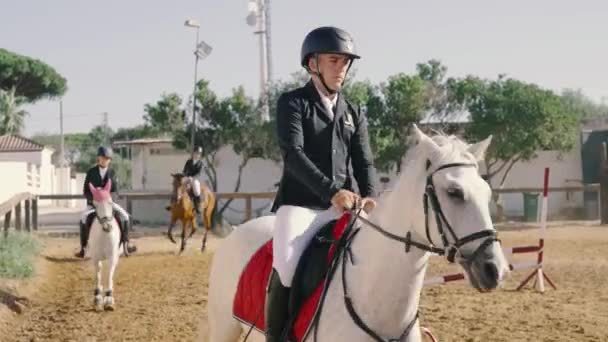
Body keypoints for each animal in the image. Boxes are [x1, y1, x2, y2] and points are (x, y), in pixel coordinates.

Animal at [86, 180, 124, 312]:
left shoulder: (113, 257)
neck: (104, 235)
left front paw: (109, 301)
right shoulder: (95, 258)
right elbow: (98, 274)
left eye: (110, 202)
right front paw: (97, 299)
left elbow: (109, 275)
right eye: (95, 205)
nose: (107, 227)